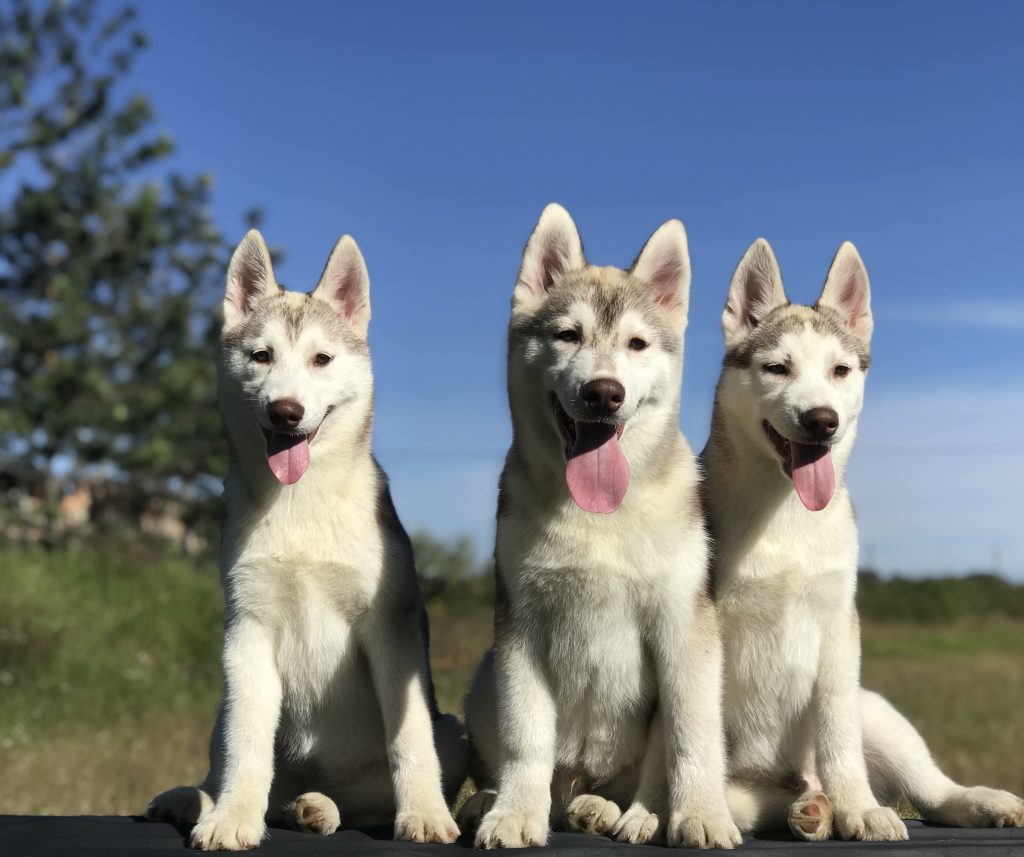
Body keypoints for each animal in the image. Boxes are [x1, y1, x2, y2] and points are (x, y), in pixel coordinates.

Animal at [146, 229, 466, 847]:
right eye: (261, 356)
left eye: (322, 359)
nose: (286, 411)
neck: (302, 505)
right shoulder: (247, 627)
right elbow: (247, 745)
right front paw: (231, 819)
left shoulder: (390, 627)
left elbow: (410, 738)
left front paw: (423, 814)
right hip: (222, 712)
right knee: (245, 774)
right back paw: (206, 801)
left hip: (453, 730)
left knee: (362, 800)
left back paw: (320, 807)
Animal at [460, 203, 741, 847]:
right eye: (568, 335)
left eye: (637, 343)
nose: (604, 393)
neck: (599, 519)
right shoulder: (520, 627)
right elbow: (526, 736)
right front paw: (514, 814)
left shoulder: (684, 625)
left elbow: (691, 736)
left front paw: (701, 814)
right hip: (485, 676)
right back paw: (502, 801)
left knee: (650, 766)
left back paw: (633, 812)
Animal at [704, 237, 1024, 839]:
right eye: (777, 368)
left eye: (840, 370)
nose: (821, 420)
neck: (785, 514)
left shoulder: (837, 629)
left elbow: (838, 735)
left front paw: (858, 808)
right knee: (751, 796)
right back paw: (806, 806)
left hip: (875, 708)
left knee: (928, 791)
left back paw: (974, 800)